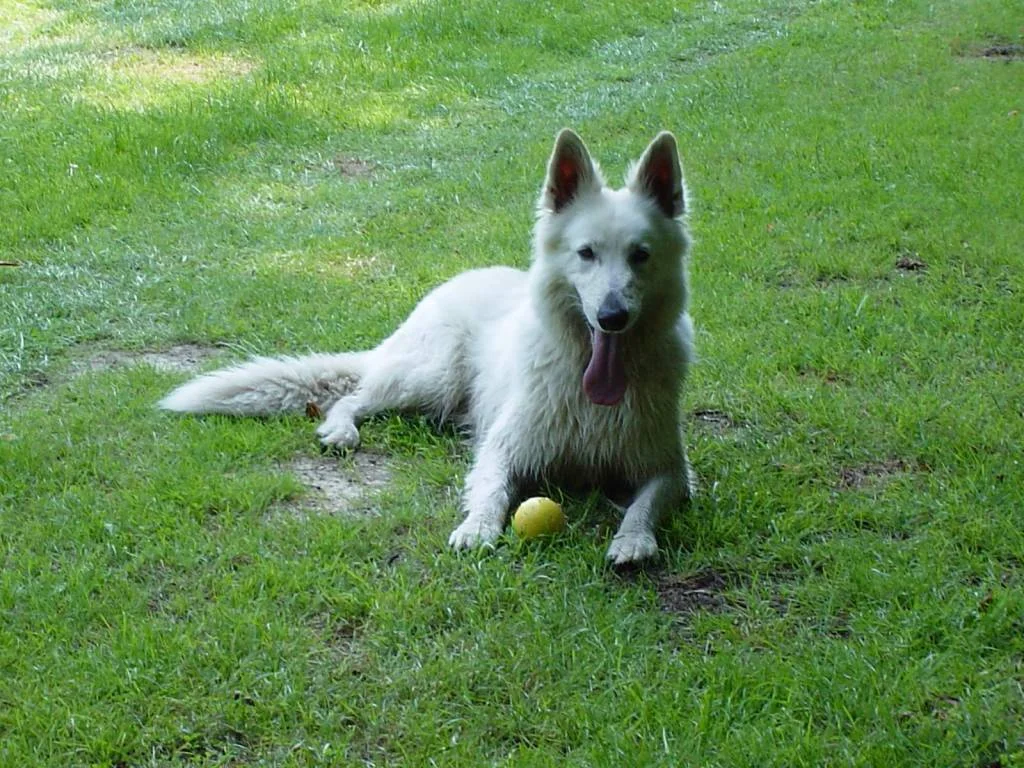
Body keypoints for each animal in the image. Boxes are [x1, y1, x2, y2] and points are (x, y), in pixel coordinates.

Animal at [161, 131, 696, 565]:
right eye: (586, 253)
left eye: (640, 255)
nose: (611, 317)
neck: (590, 392)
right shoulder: (503, 448)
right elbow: (491, 491)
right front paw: (476, 528)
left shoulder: (670, 469)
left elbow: (647, 502)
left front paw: (633, 539)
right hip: (430, 377)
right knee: (351, 396)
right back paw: (341, 430)